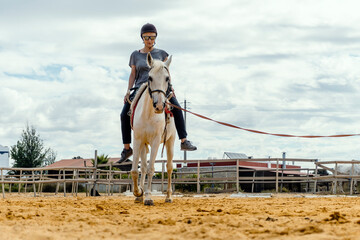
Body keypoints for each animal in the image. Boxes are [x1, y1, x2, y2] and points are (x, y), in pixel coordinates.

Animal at [130, 53, 176, 205]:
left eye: (167, 78)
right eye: (150, 77)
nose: (160, 106)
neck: (148, 114)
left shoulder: (156, 141)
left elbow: (151, 168)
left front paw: (149, 197)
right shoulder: (138, 140)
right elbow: (136, 170)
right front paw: (138, 192)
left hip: (170, 142)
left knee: (169, 167)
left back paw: (168, 197)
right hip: (144, 145)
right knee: (143, 167)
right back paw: (140, 196)